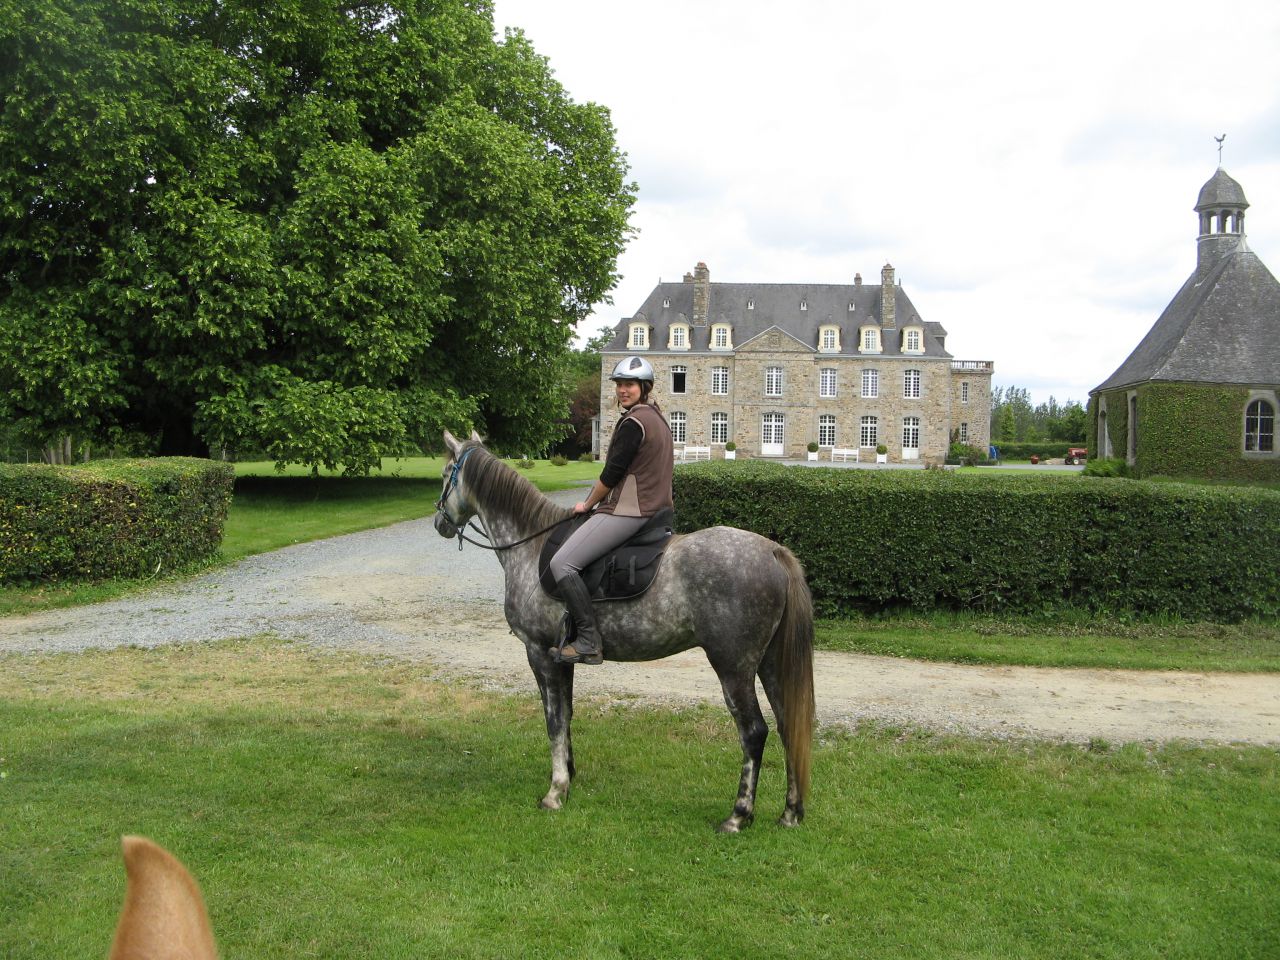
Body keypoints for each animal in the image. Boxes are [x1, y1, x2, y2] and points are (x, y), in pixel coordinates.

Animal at [432, 430, 815, 832]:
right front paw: (569, 775)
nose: (440, 521)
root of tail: (772, 551)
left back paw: (738, 815)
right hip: (769, 664)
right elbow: (567, 714)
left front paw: (555, 791)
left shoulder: (539, 653)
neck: (531, 544)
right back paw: (790, 812)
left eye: (445, 475)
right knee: (789, 726)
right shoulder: (562, 658)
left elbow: (553, 720)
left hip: (733, 667)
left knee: (754, 732)